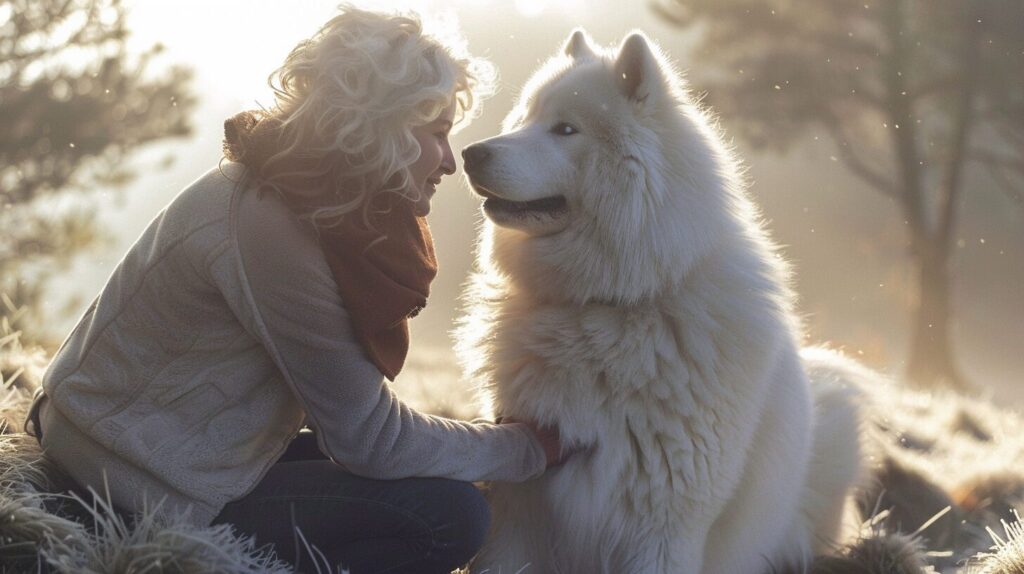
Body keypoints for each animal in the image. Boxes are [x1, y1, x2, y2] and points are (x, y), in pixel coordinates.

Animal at [460, 30, 868, 572]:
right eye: (523, 118)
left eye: (565, 129)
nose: (470, 153)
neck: (607, 306)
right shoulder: (520, 503)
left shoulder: (665, 525)